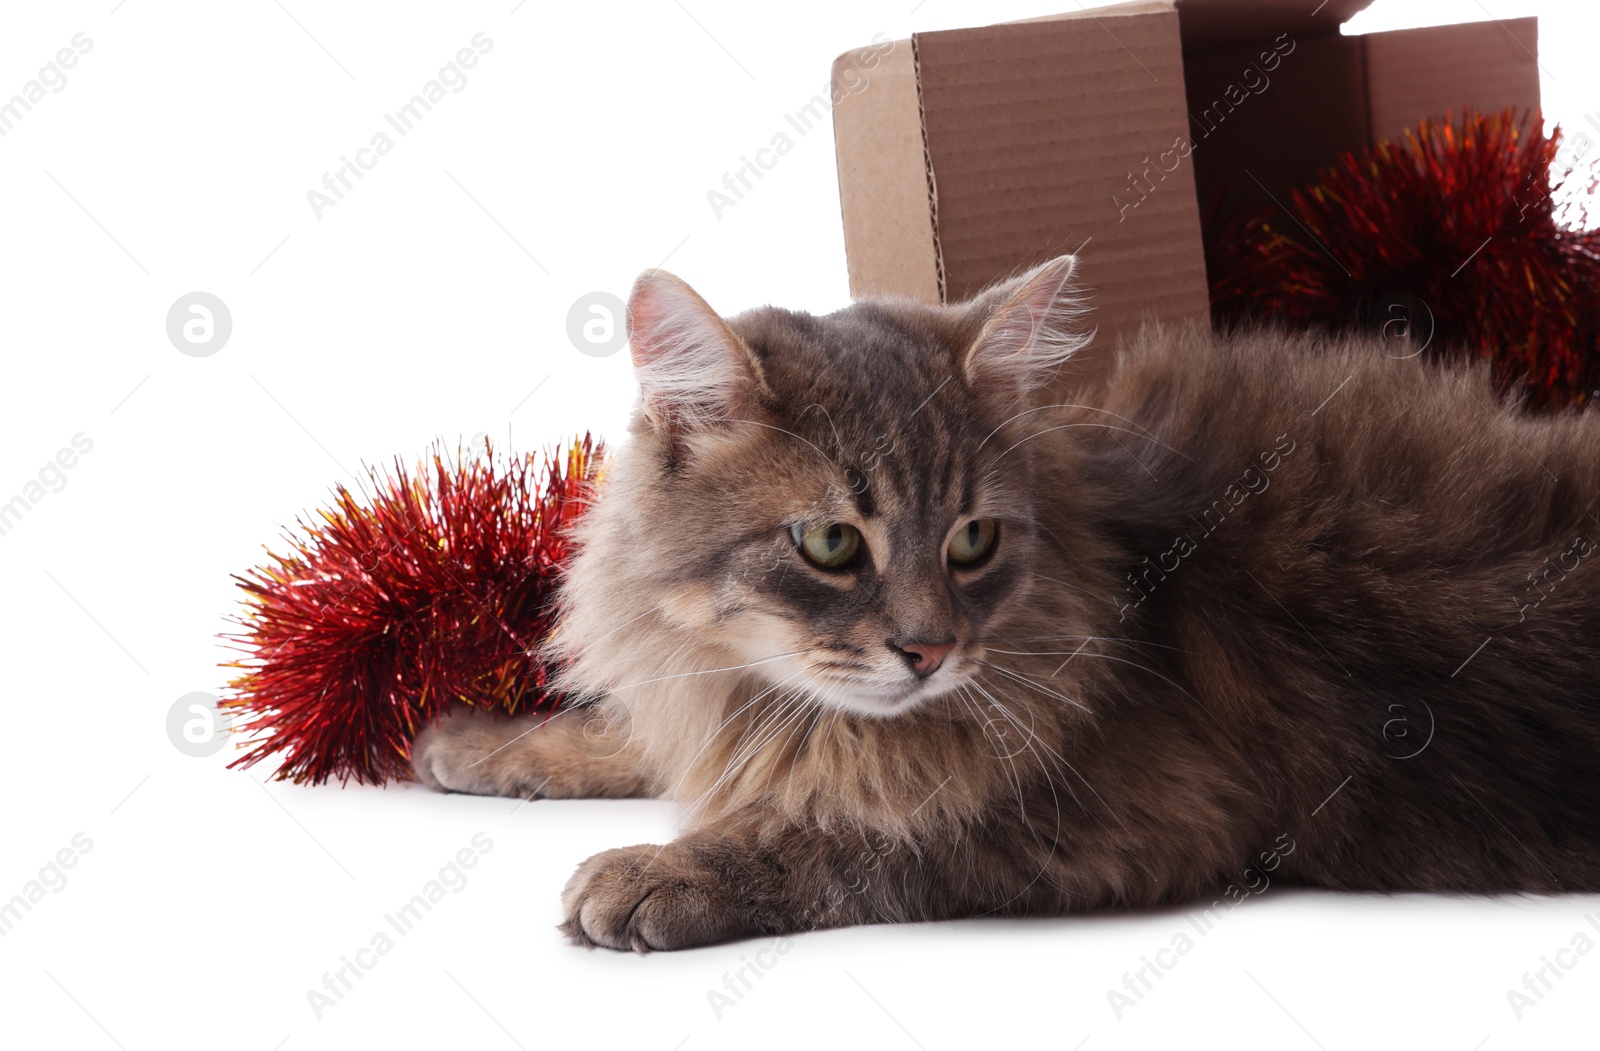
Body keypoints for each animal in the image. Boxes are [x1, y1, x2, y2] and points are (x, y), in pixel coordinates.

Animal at [409, 255, 1600, 953]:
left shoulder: (1142, 813)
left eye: (970, 540)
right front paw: (474, 743)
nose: (929, 650)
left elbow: (838, 834)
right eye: (831, 544)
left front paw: (660, 872)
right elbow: (637, 735)